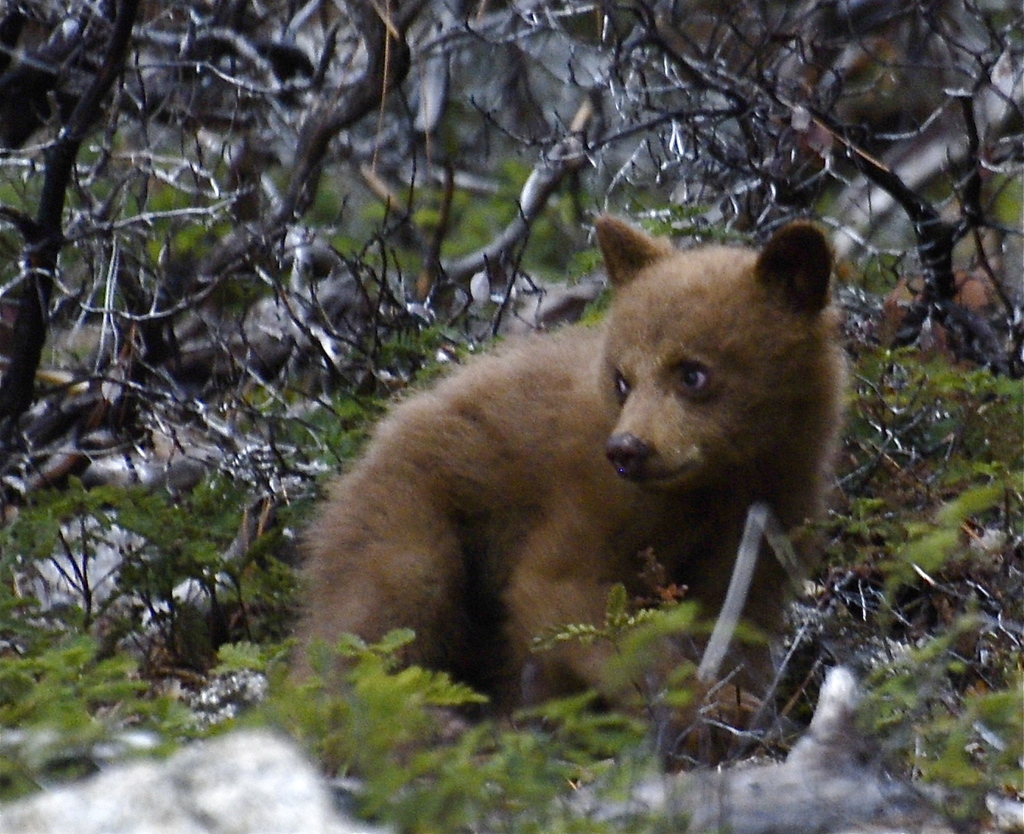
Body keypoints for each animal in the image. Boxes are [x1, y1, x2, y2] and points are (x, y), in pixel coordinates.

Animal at [294, 216, 847, 715]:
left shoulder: (775, 513)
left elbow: (736, 622)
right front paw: (696, 705)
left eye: (692, 373)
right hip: (407, 515)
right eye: (622, 379)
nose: (627, 449)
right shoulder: (595, 497)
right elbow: (557, 591)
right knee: (382, 615)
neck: (721, 482)